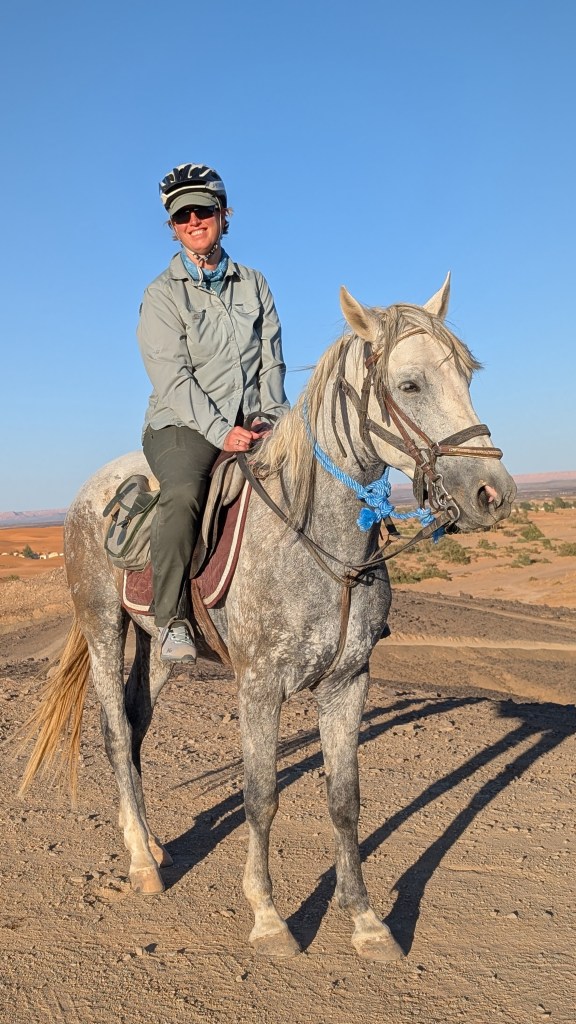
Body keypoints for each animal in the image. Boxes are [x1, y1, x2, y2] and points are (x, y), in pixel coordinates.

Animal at [20, 275, 516, 962]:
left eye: (468, 374)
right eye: (411, 384)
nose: (493, 494)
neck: (319, 544)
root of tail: (89, 493)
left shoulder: (348, 682)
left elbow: (345, 798)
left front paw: (366, 922)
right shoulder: (258, 685)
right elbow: (261, 797)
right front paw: (267, 917)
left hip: (156, 647)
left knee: (137, 725)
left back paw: (150, 844)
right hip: (102, 627)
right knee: (116, 731)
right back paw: (142, 865)